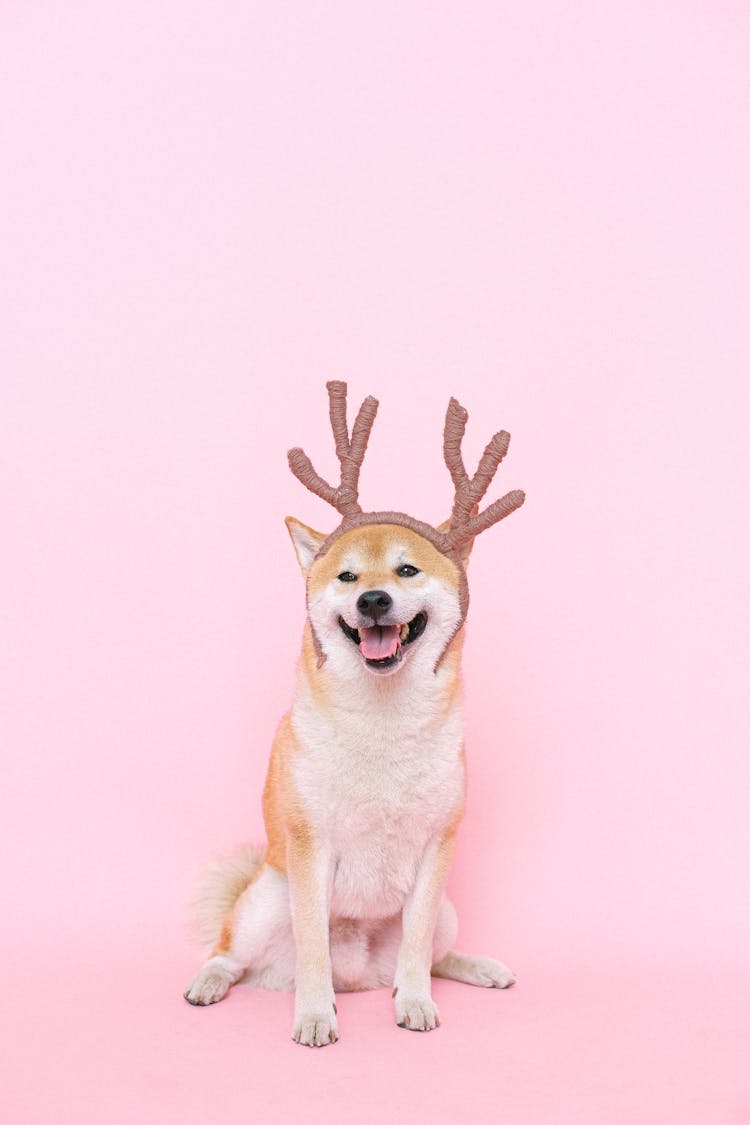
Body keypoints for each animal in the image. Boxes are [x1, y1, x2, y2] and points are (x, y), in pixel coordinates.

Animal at [182, 380, 526, 1044]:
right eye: (345, 576)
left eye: (407, 569)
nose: (373, 600)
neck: (383, 724)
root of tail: (360, 974)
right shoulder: (309, 847)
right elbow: (313, 947)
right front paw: (316, 1015)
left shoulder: (435, 852)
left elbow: (417, 949)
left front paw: (414, 1004)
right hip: (265, 900)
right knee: (228, 953)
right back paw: (209, 982)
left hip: (448, 910)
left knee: (436, 954)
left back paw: (475, 968)